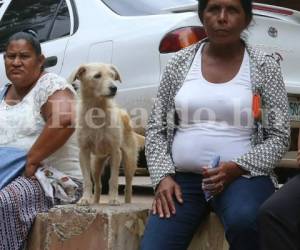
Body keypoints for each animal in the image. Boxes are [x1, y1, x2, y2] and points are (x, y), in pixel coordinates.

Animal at [70, 62, 145, 205]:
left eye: (112, 76)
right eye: (97, 76)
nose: (114, 88)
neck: (96, 111)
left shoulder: (116, 152)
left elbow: (113, 179)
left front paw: (114, 199)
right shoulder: (84, 152)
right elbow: (87, 181)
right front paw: (85, 199)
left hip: (129, 161)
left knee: (128, 186)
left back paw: (127, 202)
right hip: (96, 163)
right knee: (98, 185)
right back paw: (95, 202)